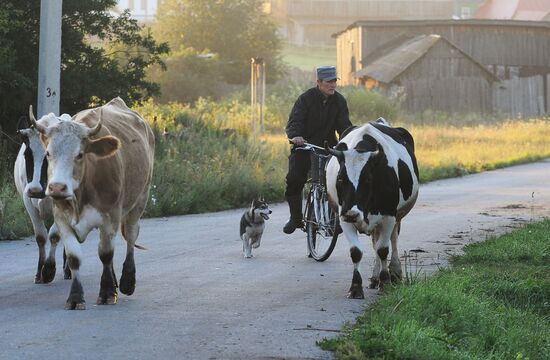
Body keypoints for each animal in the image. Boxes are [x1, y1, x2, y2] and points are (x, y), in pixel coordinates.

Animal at [13, 112, 71, 284]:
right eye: (26, 154)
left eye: (49, 155)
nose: (34, 190)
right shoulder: (28, 202)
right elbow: (40, 237)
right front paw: (39, 272)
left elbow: (54, 235)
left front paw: (49, 269)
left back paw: (68, 269)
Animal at [31, 97, 154, 310]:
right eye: (48, 153)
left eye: (80, 154)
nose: (57, 188)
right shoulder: (62, 219)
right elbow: (74, 258)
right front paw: (75, 297)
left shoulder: (110, 217)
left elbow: (106, 254)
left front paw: (107, 293)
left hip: (140, 200)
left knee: (131, 236)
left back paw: (127, 281)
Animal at [326, 118, 420, 298]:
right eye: (340, 178)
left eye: (368, 179)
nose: (352, 214)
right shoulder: (343, 217)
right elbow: (356, 252)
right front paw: (356, 287)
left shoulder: (389, 216)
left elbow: (383, 249)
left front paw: (386, 283)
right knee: (375, 242)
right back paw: (375, 278)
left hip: (397, 216)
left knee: (392, 240)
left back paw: (394, 273)